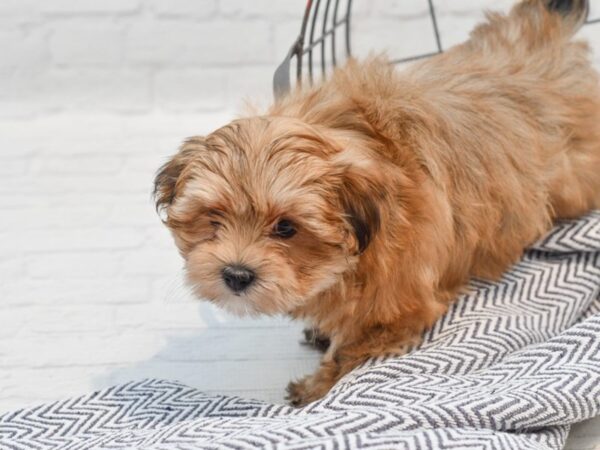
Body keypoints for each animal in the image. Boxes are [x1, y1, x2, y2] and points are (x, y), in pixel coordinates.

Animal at [154, 0, 600, 408]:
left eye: (286, 228)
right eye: (213, 217)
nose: (236, 275)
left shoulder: (400, 302)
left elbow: (352, 346)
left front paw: (317, 386)